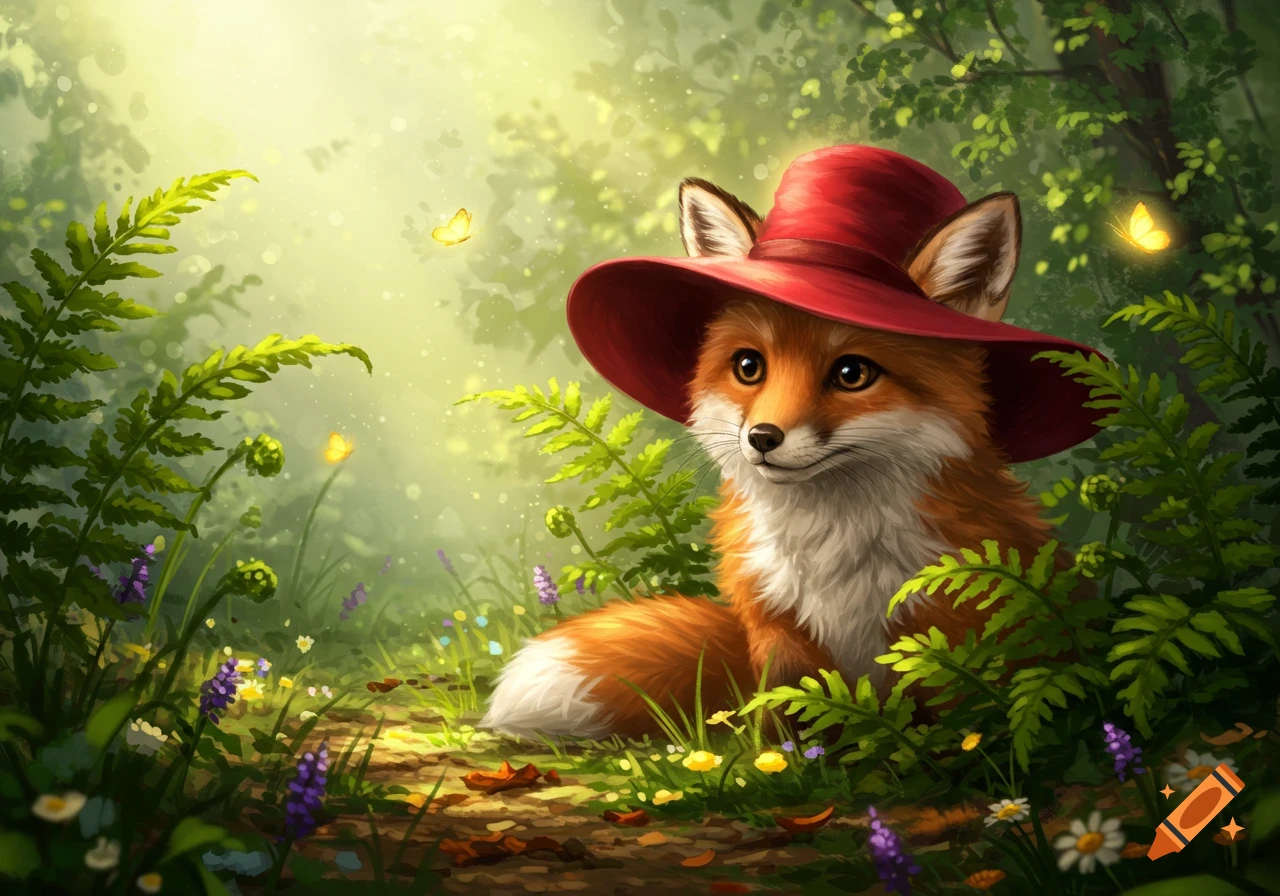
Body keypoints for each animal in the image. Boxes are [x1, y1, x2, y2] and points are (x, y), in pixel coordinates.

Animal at [481, 153, 1080, 741]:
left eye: (852, 373)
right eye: (749, 366)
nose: (762, 438)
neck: (831, 549)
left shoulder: (950, 631)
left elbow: (960, 727)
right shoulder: (779, 633)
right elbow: (787, 726)